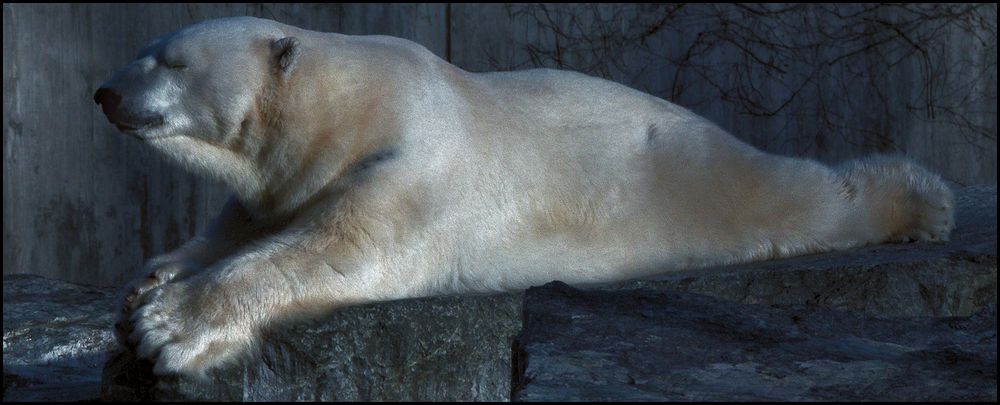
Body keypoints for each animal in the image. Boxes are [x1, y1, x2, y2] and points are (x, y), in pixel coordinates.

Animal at [95, 16, 960, 376]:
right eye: (145, 48)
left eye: (168, 60)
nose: (103, 90)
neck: (347, 106)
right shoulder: (286, 178)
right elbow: (245, 220)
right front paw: (152, 276)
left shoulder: (417, 159)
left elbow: (341, 246)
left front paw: (167, 324)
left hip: (705, 178)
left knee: (799, 196)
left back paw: (920, 203)